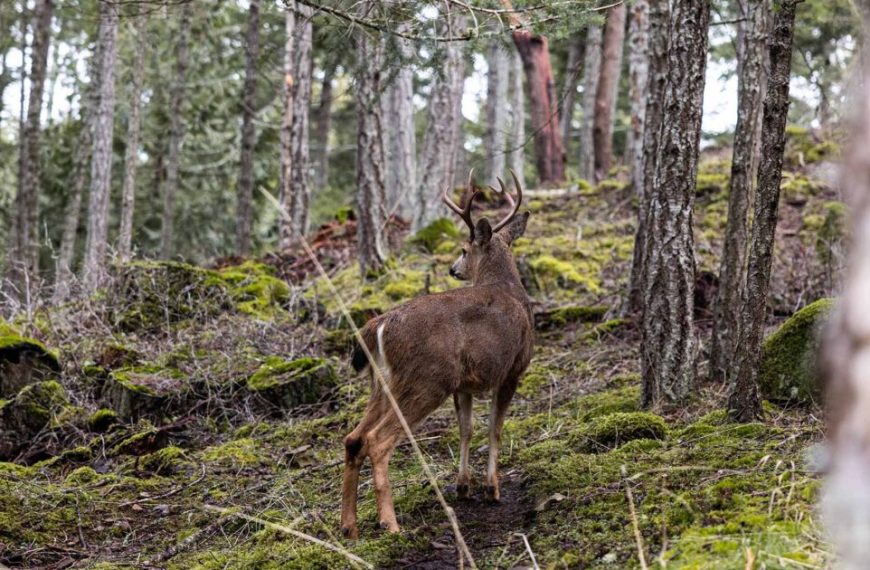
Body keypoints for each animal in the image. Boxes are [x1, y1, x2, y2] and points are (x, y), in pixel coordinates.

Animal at [340, 170, 534, 539]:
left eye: (463, 250)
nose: (453, 269)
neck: (508, 288)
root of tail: (380, 325)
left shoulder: (464, 384)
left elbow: (466, 429)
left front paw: (463, 486)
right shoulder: (511, 370)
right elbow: (495, 428)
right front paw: (492, 488)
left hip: (383, 383)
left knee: (353, 438)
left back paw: (349, 527)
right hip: (427, 380)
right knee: (377, 440)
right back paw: (390, 523)